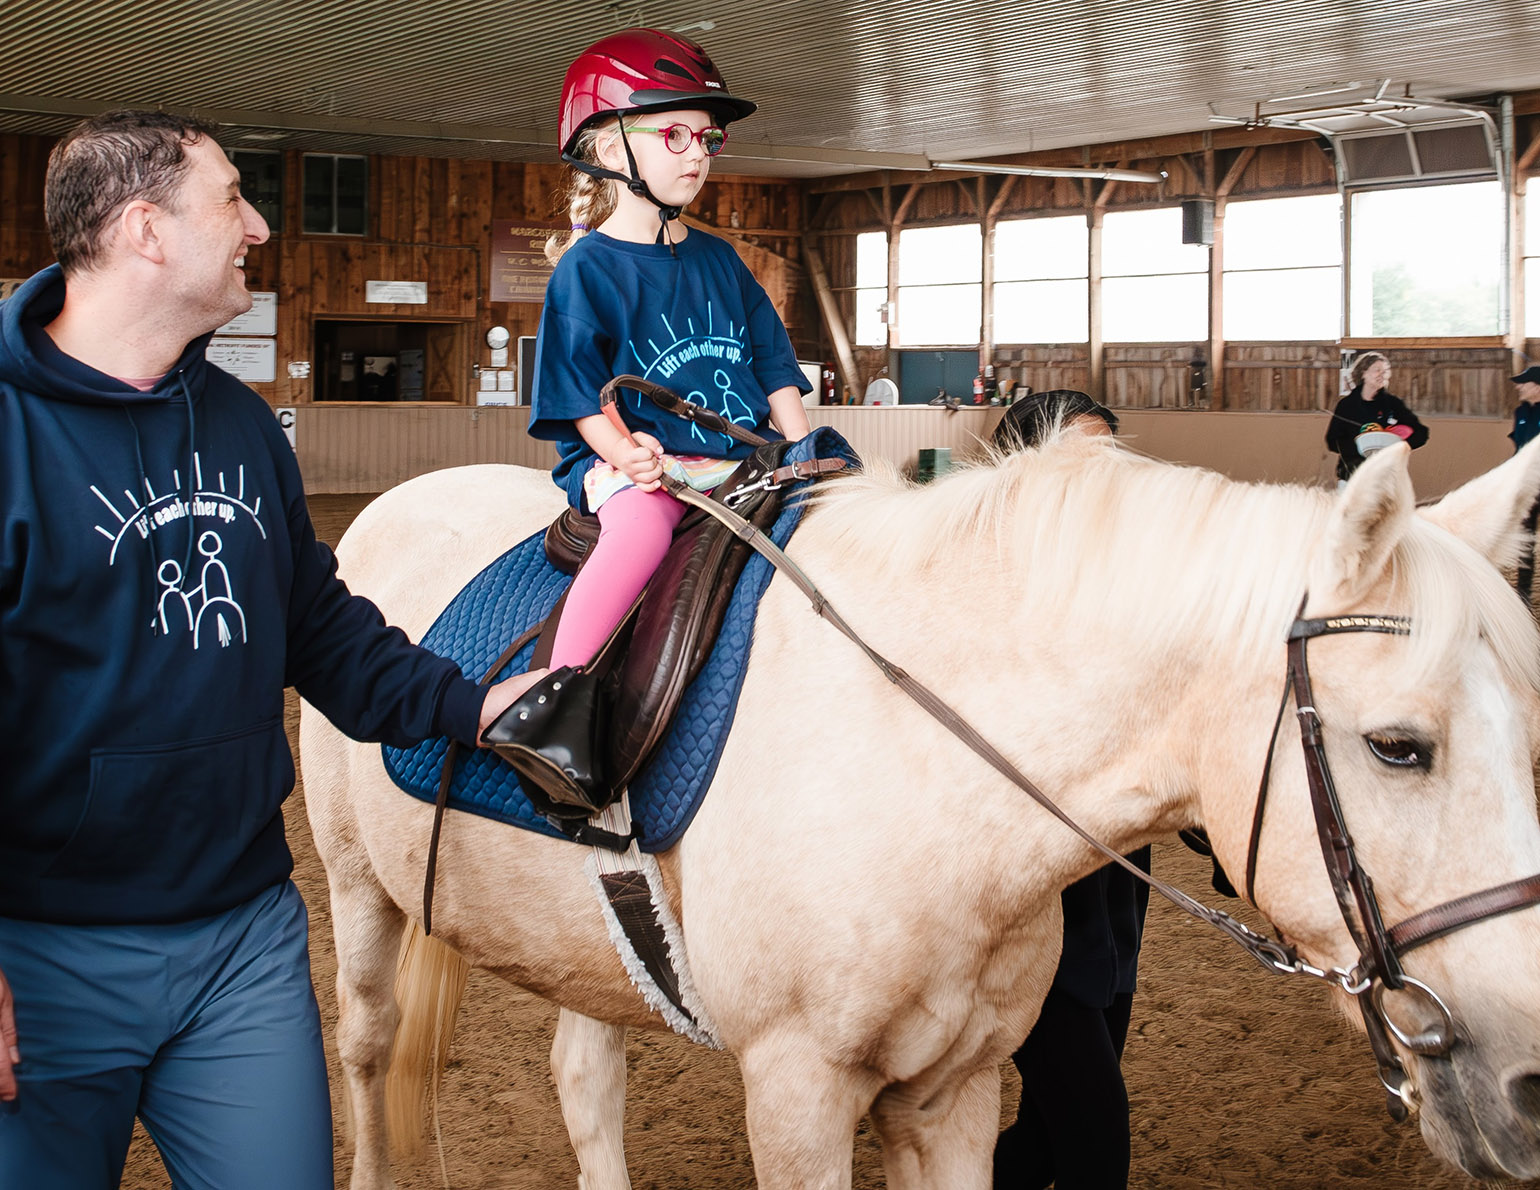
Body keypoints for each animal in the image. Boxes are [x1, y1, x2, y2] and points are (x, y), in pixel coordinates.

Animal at [303, 437, 1540, 1188]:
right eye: (1397, 746)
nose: (1531, 1087)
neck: (925, 760)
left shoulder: (955, 1088)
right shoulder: (796, 1090)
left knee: (584, 1078)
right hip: (358, 883)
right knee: (366, 1044)